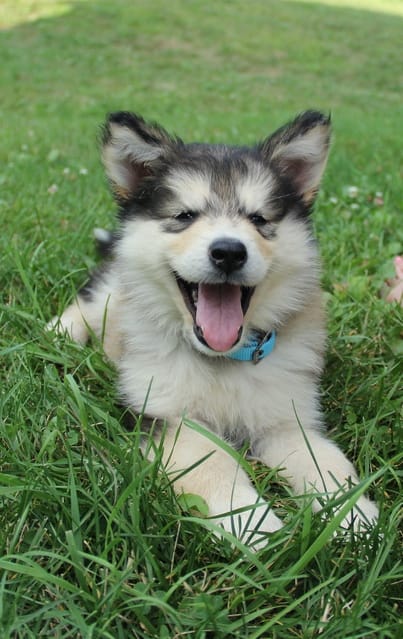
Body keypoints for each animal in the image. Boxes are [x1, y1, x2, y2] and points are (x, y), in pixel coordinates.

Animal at [50, 112, 378, 548]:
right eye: (185, 216)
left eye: (259, 219)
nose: (228, 252)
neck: (223, 361)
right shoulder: (168, 415)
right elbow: (212, 462)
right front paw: (252, 525)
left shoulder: (285, 416)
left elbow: (325, 461)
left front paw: (355, 518)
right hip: (110, 290)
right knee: (87, 301)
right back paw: (59, 332)